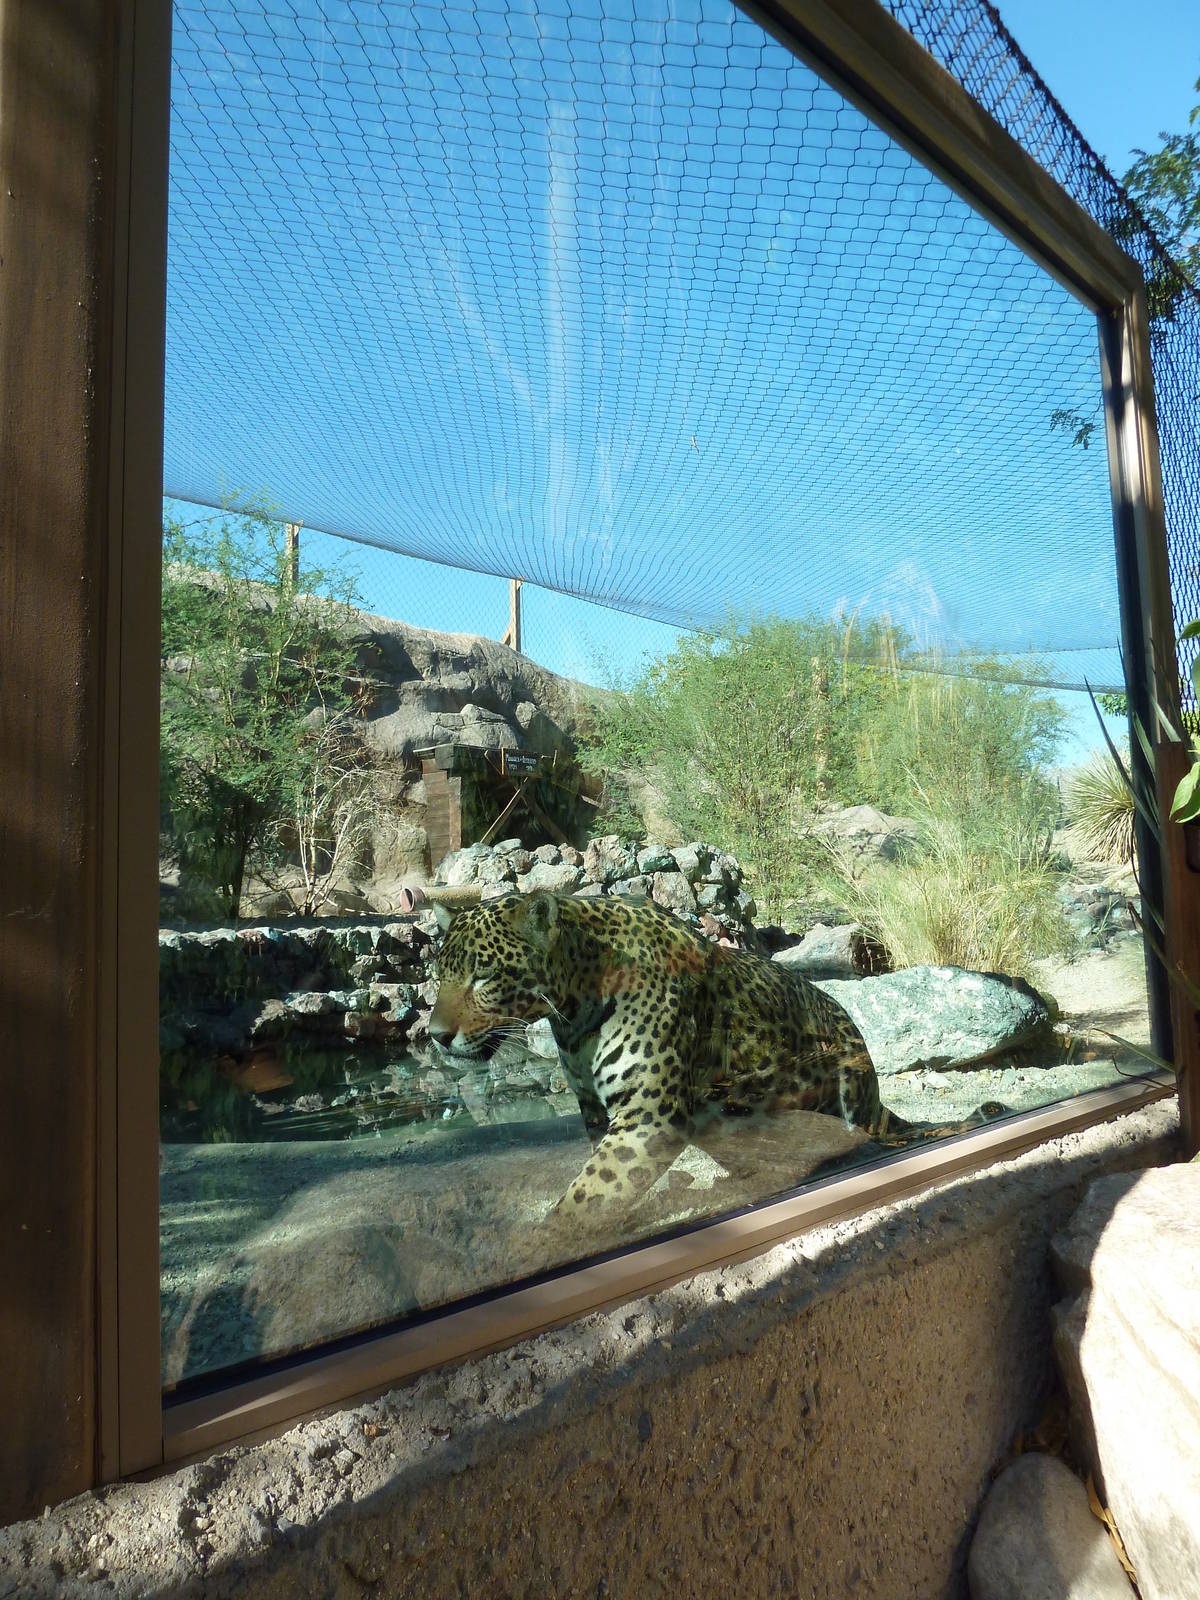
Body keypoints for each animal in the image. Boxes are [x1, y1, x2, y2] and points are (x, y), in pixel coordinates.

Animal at [427, 888, 922, 1215]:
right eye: (441, 975)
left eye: (484, 976)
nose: (435, 1035)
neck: (572, 1011)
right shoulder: (594, 1109)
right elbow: (602, 1176)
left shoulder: (649, 1114)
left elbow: (588, 1192)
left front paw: (543, 1242)